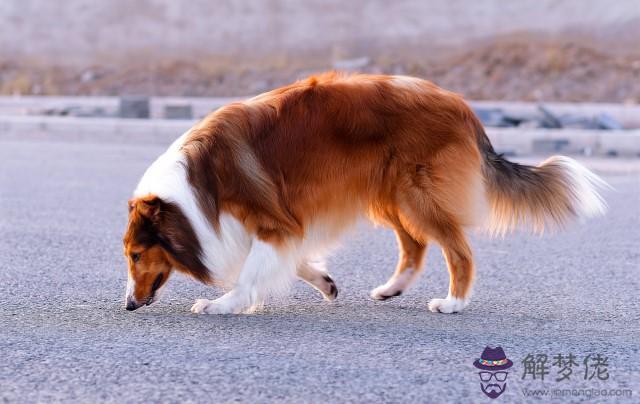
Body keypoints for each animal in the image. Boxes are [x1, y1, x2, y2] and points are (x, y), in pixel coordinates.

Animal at [122, 72, 608, 314]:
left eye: (135, 254)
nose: (128, 305)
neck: (193, 190)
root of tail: (464, 108)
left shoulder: (272, 221)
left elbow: (251, 273)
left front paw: (221, 305)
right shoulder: (281, 224)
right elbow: (291, 258)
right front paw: (325, 282)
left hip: (416, 194)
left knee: (457, 250)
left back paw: (453, 303)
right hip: (388, 195)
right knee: (415, 245)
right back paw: (392, 289)